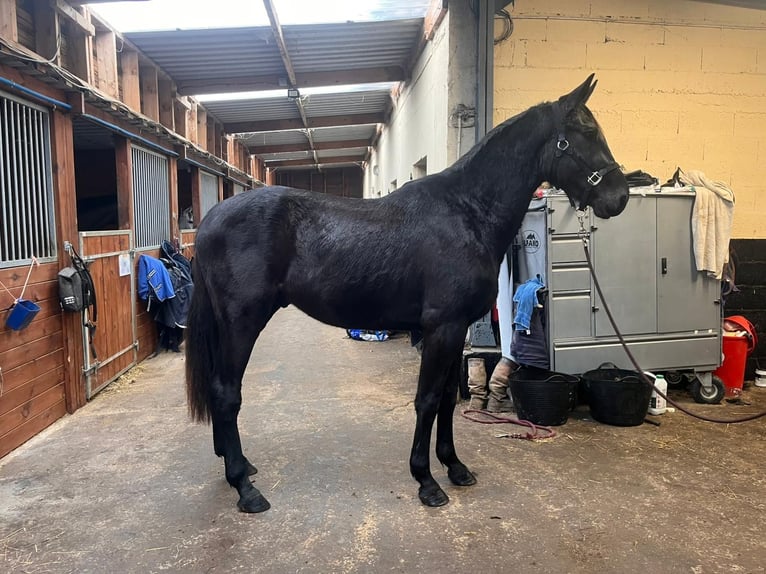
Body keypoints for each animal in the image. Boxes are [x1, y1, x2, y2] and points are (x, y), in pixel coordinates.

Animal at [186, 75, 632, 512]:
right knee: (226, 393)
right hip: (242, 323)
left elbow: (449, 399)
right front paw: (427, 481)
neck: (467, 213)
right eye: (585, 132)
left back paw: (241, 466)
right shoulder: (441, 329)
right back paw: (244, 487)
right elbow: (427, 399)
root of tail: (211, 220)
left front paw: (455, 467)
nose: (620, 196)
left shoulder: (456, 330)